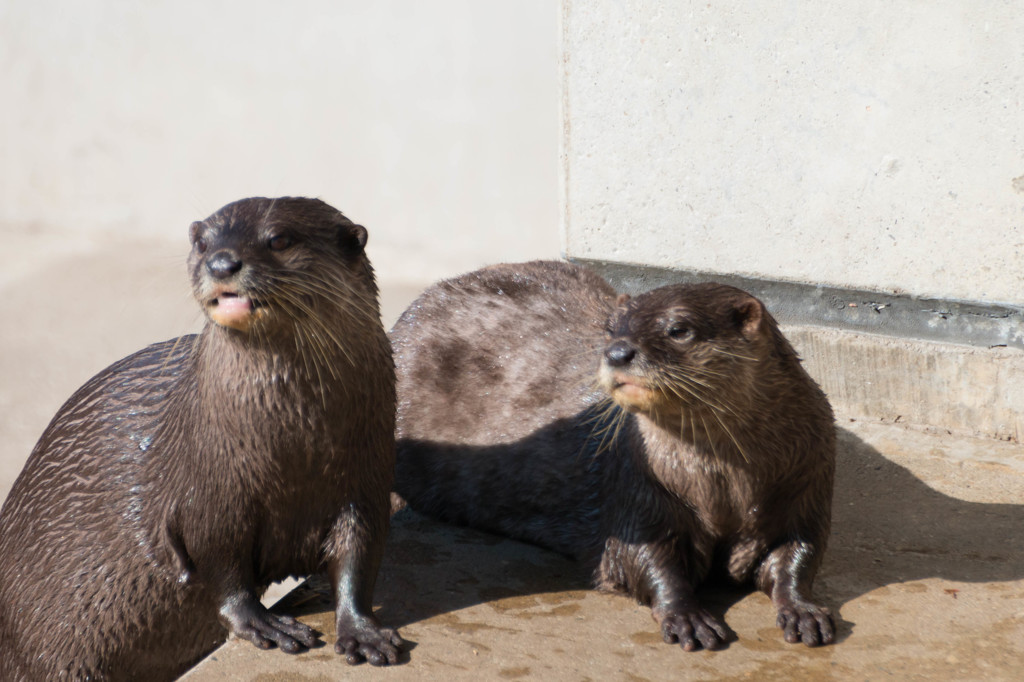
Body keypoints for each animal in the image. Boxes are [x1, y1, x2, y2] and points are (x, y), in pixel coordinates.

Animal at [0, 193, 401, 675]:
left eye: (279, 239)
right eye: (203, 242)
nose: (222, 263)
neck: (293, 450)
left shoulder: (364, 482)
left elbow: (359, 557)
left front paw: (363, 632)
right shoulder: (207, 492)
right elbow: (221, 564)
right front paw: (263, 623)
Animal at [389, 259, 831, 647]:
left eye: (678, 329)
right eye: (610, 328)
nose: (618, 352)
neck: (724, 486)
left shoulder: (808, 481)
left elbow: (800, 552)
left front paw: (803, 610)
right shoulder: (635, 488)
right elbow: (644, 560)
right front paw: (687, 616)